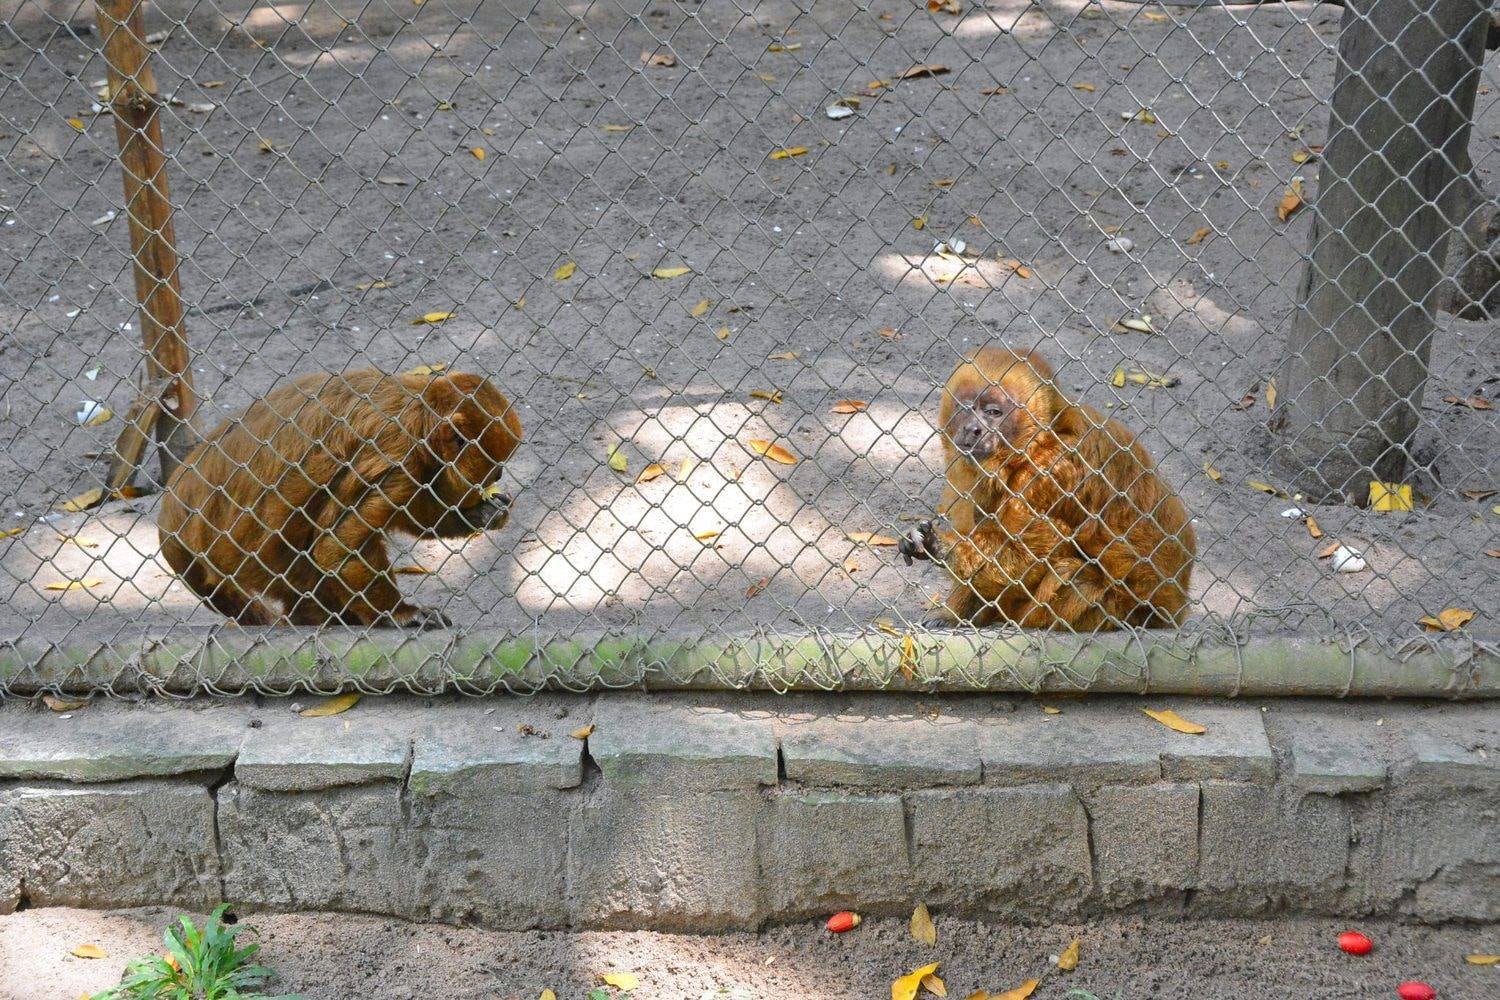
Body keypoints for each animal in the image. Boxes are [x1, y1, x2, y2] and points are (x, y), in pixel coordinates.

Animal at [158, 369, 522, 628]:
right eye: (494, 468)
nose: (498, 476)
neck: (419, 413)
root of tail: (175, 503)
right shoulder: (397, 457)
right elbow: (337, 548)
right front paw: (399, 614)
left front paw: (484, 514)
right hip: (236, 553)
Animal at [899, 347, 1195, 630]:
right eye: (967, 409)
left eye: (993, 413)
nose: (973, 429)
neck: (1033, 446)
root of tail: (1173, 610)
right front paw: (954, 611)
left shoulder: (1048, 472)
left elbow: (1035, 553)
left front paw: (941, 548)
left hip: (1122, 607)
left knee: (1071, 569)